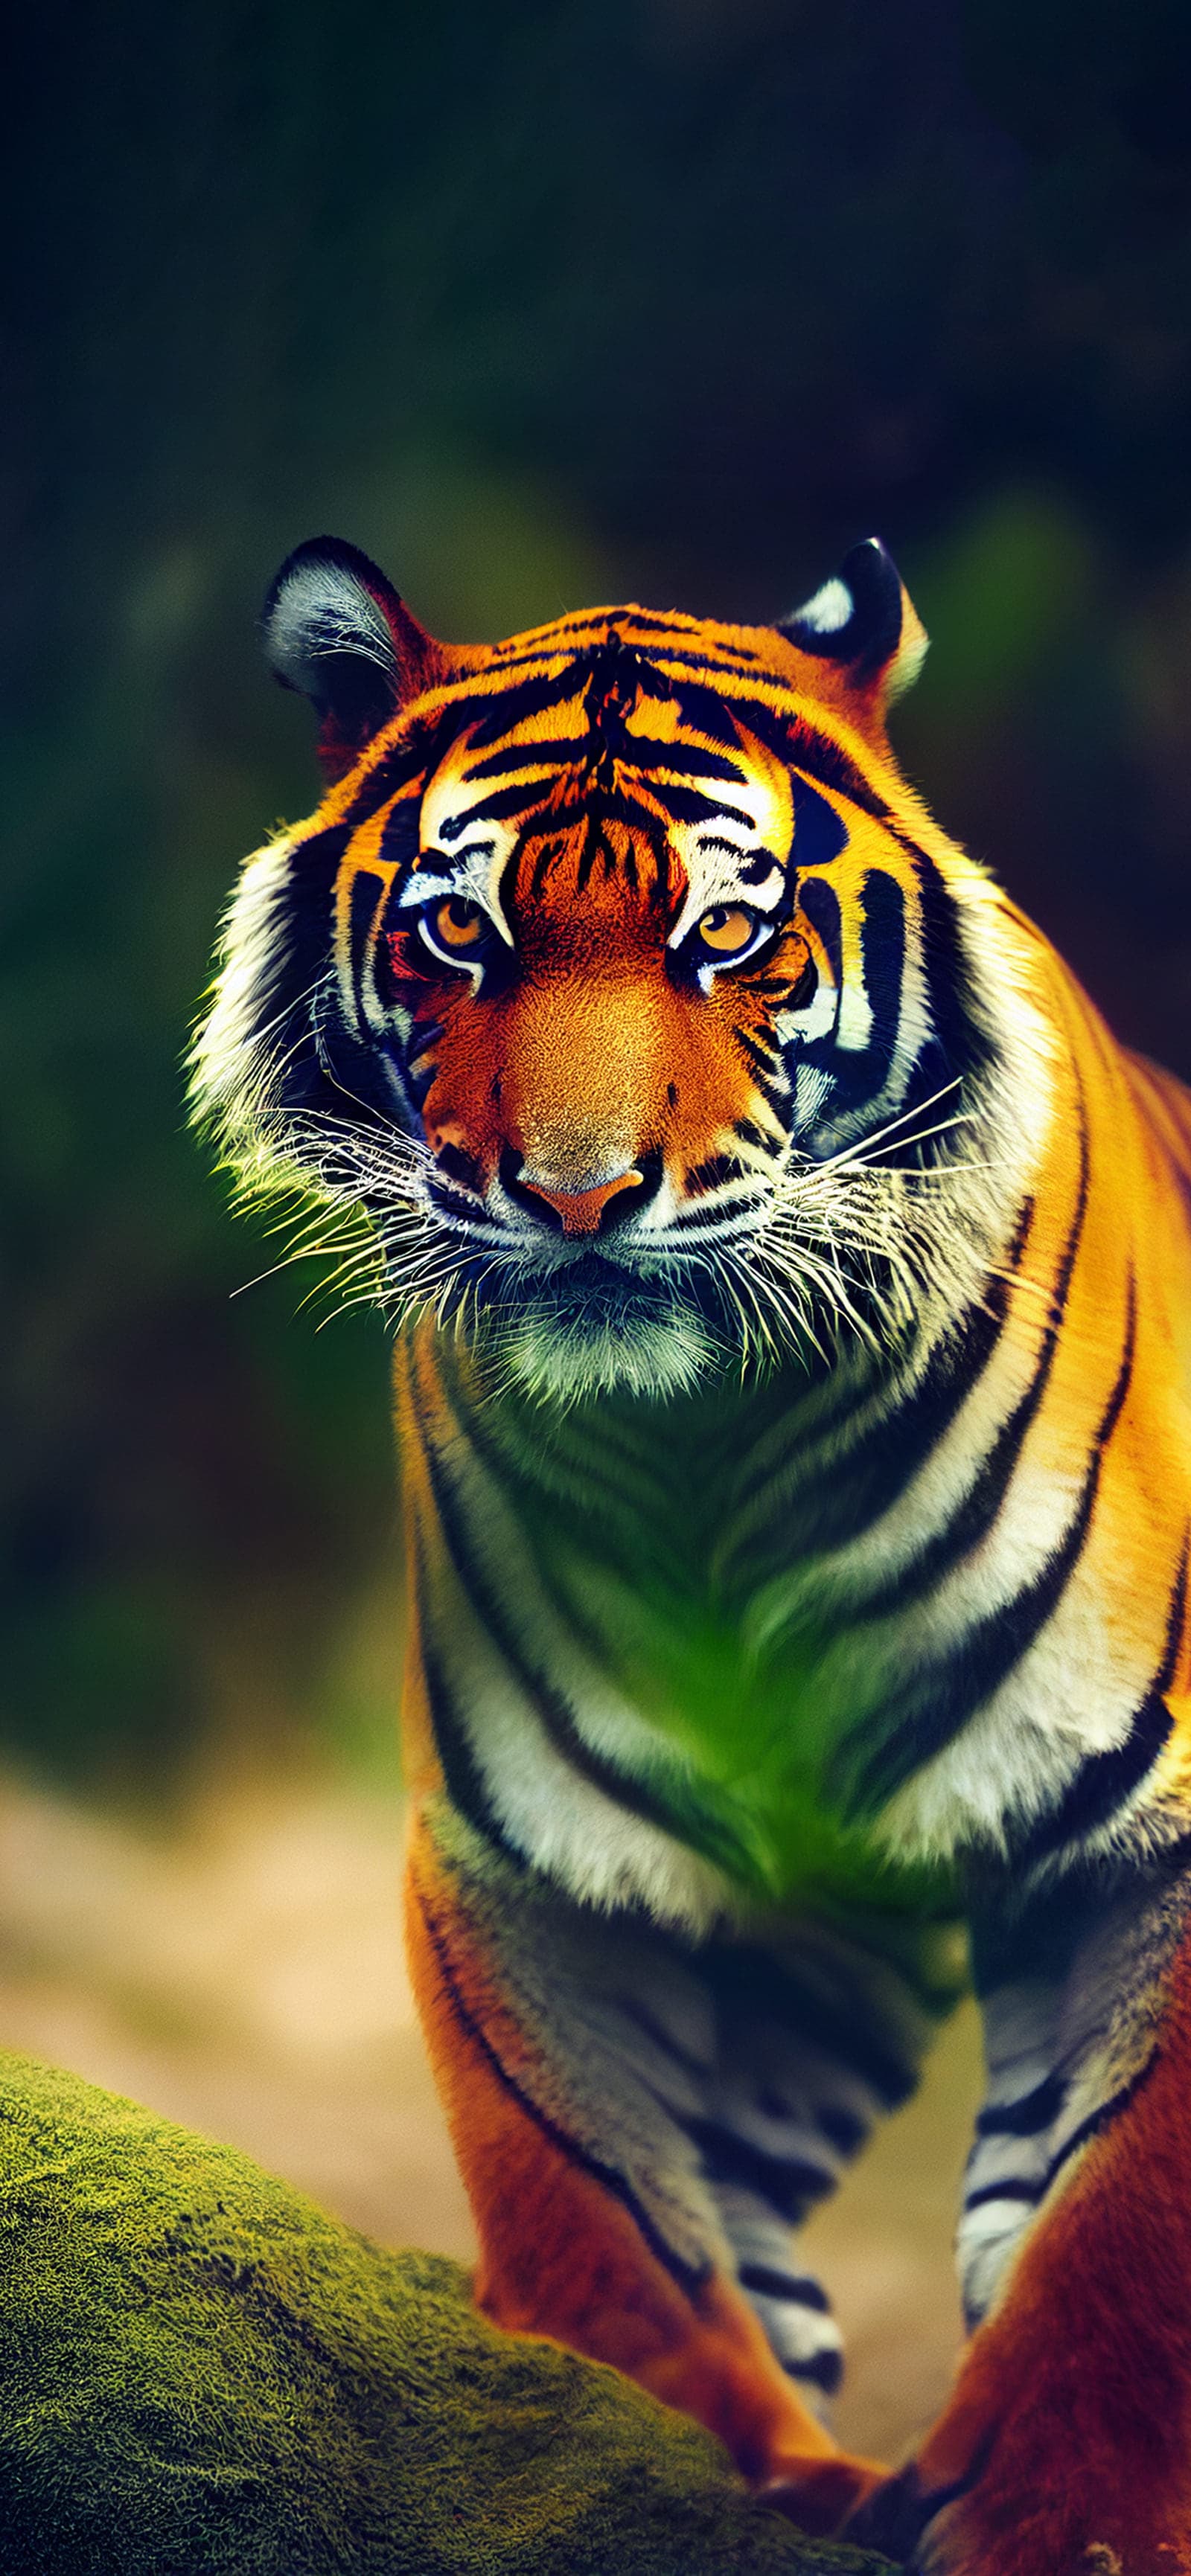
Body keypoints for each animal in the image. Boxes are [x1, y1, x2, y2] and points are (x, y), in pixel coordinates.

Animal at [191, 530, 1191, 2575]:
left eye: (727, 938)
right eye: (459, 935)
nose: (574, 1197)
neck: (709, 1450)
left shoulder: (1143, 1829)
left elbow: (1112, 2212)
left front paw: (1054, 2513)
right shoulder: (549, 1862)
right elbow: (601, 2215)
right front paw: (637, 2473)